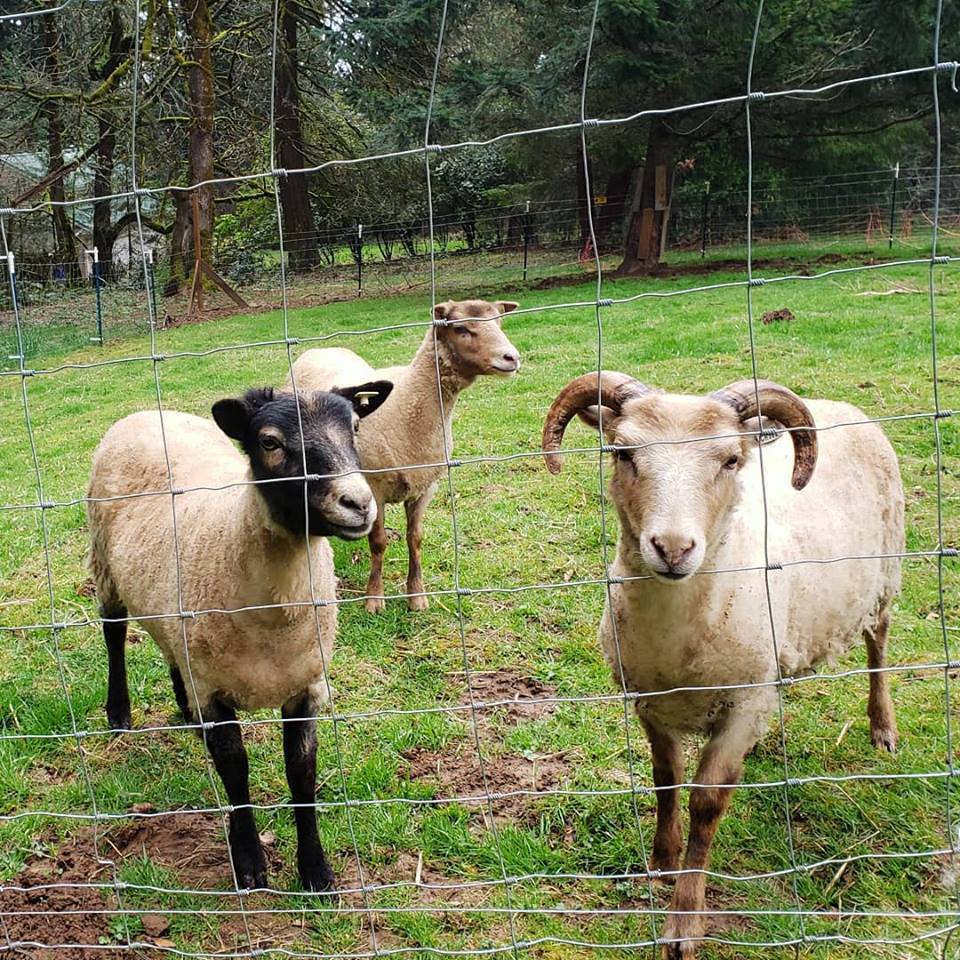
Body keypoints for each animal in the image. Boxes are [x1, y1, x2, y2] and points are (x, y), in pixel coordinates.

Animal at [288, 300, 520, 612]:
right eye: (460, 328)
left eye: (499, 322)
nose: (512, 357)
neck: (409, 403)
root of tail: (320, 349)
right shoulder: (375, 486)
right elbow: (379, 542)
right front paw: (374, 599)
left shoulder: (426, 486)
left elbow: (415, 540)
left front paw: (417, 596)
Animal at [544, 372, 904, 956]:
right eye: (622, 453)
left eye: (731, 460)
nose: (672, 548)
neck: (682, 630)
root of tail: (839, 405)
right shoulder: (649, 701)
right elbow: (665, 781)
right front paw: (662, 861)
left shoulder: (744, 704)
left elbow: (707, 802)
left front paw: (683, 924)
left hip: (886, 578)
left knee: (879, 647)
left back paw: (883, 728)